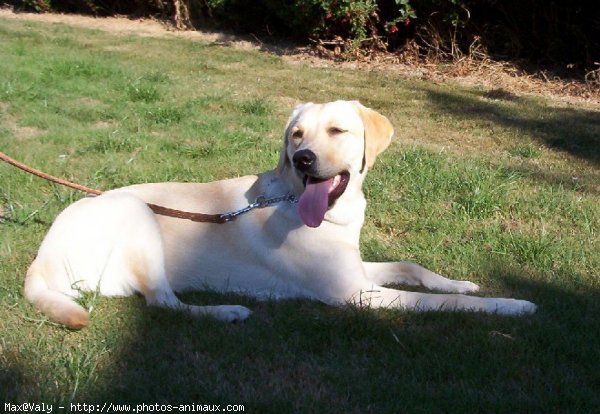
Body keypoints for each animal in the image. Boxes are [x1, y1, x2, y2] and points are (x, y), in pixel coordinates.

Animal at [25, 98, 536, 328]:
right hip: (136, 213)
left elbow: (415, 268)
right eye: (296, 135)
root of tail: (39, 259)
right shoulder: (355, 294)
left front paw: (462, 281)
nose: (303, 159)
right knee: (164, 303)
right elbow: (443, 304)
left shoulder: (356, 270)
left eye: (337, 131)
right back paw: (229, 310)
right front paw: (510, 304)